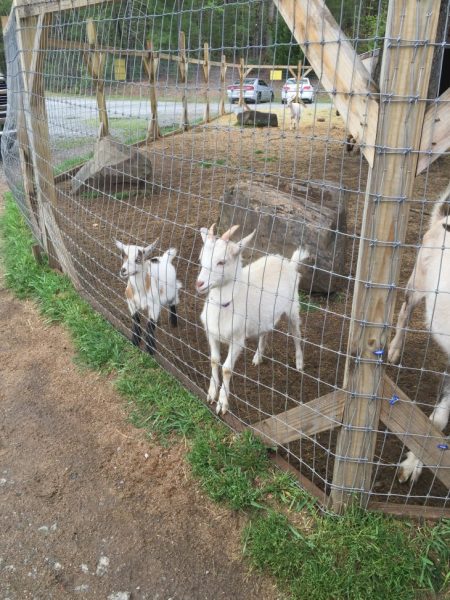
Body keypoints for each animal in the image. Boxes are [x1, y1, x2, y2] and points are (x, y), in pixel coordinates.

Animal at [197, 223, 310, 414]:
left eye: (221, 262)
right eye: (201, 259)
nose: (199, 284)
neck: (224, 306)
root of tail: (289, 263)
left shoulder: (237, 339)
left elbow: (227, 369)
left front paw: (222, 404)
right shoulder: (211, 333)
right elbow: (213, 360)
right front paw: (211, 393)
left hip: (293, 307)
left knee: (296, 334)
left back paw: (299, 363)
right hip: (264, 316)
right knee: (266, 331)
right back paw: (258, 357)